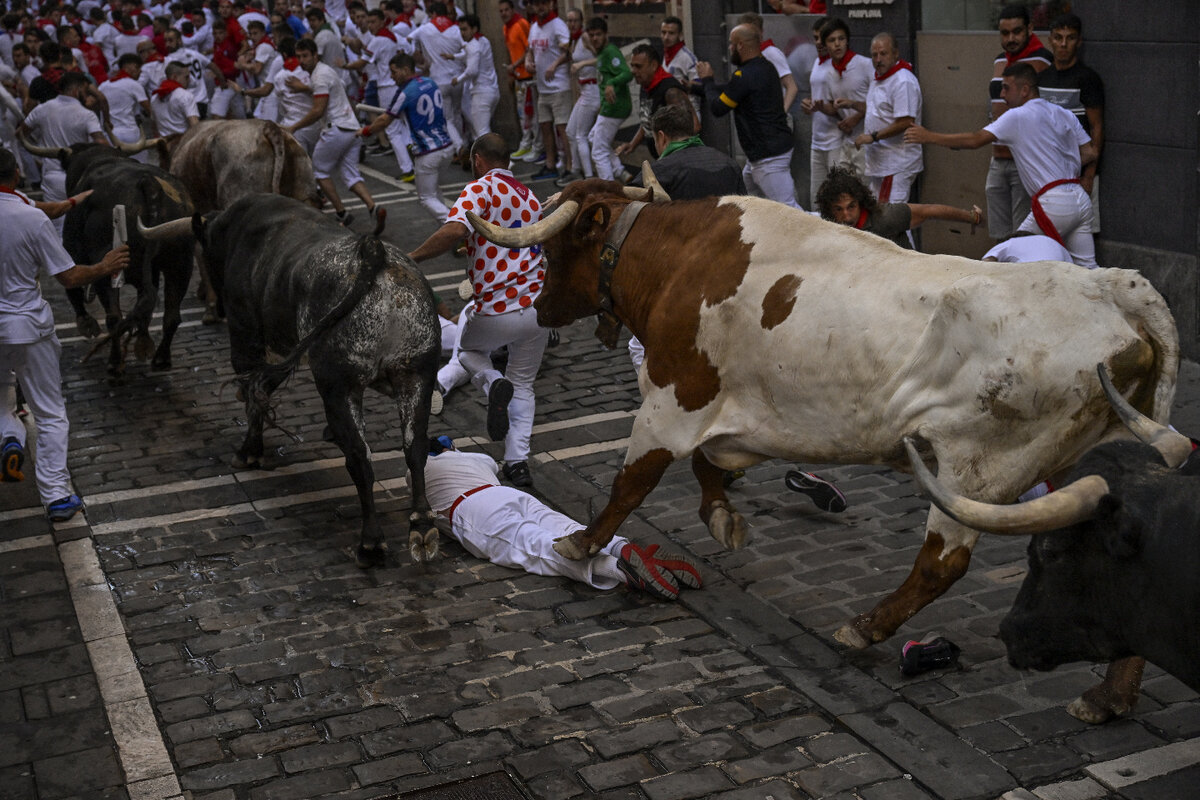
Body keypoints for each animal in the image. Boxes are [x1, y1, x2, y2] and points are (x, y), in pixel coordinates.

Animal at [194, 194, 444, 568]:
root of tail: (373, 253)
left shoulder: (245, 337)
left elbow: (254, 397)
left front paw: (249, 452)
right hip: (416, 373)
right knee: (414, 447)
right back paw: (422, 527)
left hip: (339, 386)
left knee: (359, 457)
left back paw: (371, 543)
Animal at [463, 179, 1176, 671]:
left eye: (557, 246)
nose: (541, 307)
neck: (679, 261)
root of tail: (1112, 289)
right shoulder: (734, 411)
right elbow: (708, 466)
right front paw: (723, 517)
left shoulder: (672, 401)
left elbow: (631, 484)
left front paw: (581, 543)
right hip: (1083, 460)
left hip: (975, 468)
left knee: (941, 564)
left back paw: (865, 626)